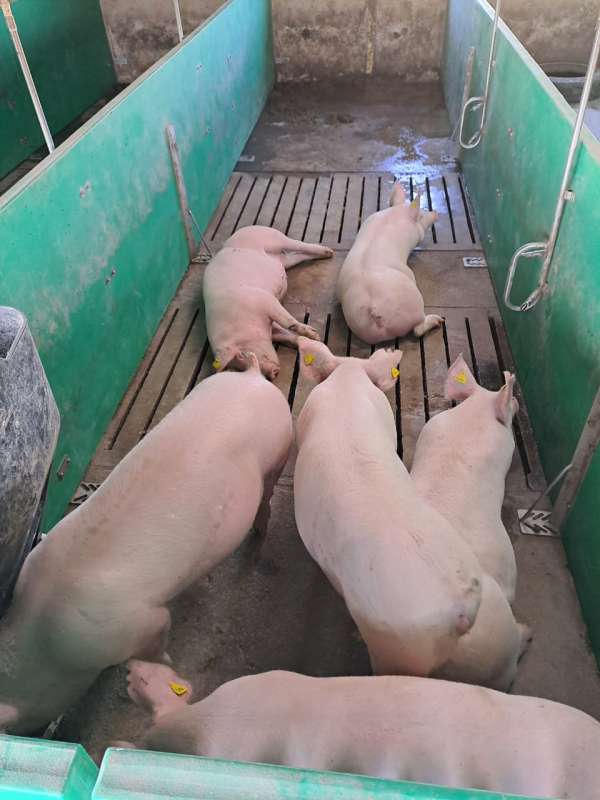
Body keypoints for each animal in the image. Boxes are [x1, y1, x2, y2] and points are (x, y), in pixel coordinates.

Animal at [0, 355, 292, 735]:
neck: (44, 642)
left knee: (268, 494)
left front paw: (164, 659)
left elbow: (157, 638)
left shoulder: (135, 622)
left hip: (279, 447)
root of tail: (255, 378)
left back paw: (259, 532)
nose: (36, 734)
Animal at [203, 225, 334, 380]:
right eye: (239, 368)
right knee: (297, 256)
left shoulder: (264, 300)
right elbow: (285, 335)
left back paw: (328, 252)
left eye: (241, 354)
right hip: (284, 261)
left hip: (274, 238)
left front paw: (315, 335)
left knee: (297, 244)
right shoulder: (270, 326)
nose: (271, 373)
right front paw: (309, 340)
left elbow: (288, 322)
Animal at [337, 182, 443, 344]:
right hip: (414, 304)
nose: (436, 212)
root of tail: (374, 309)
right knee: (418, 329)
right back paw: (438, 320)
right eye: (422, 216)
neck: (394, 214)